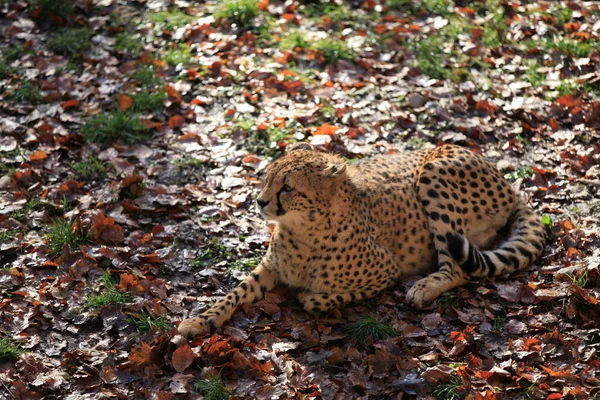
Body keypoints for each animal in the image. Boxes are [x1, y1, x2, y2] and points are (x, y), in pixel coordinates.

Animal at [177, 144, 544, 338]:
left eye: (288, 187)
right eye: (267, 178)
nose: (260, 201)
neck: (304, 230)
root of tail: (508, 182)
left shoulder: (388, 271)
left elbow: (318, 298)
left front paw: (311, 296)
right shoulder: (270, 268)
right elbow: (235, 292)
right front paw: (200, 319)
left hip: (435, 172)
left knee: (458, 270)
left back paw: (423, 287)